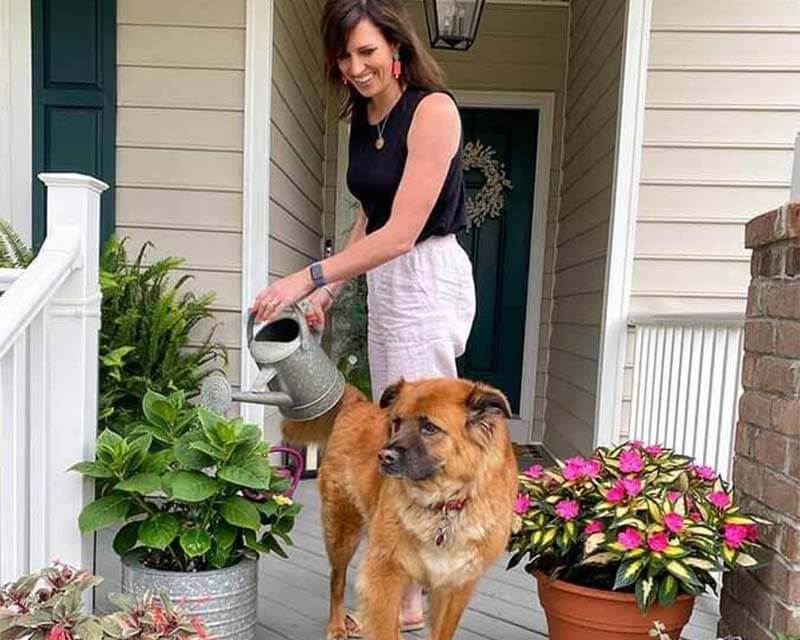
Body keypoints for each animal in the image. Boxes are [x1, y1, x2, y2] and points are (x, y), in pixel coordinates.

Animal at [282, 378, 520, 640]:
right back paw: (337, 626)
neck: (443, 506)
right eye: (396, 423)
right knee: (337, 580)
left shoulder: (456, 584)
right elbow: (384, 627)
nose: (383, 456)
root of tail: (357, 404)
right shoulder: (385, 572)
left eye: (429, 428)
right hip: (343, 530)